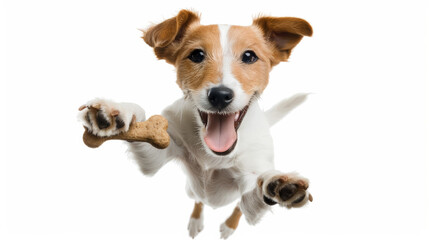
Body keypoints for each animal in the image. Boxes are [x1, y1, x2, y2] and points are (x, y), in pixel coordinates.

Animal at [78, 9, 310, 238]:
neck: (213, 156)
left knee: (236, 209)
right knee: (199, 199)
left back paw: (229, 225)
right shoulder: (158, 154)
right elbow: (143, 125)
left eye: (249, 56)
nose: (220, 95)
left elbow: (253, 195)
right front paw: (116, 112)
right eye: (197, 55)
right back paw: (196, 219)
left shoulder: (250, 181)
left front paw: (281, 187)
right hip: (191, 189)